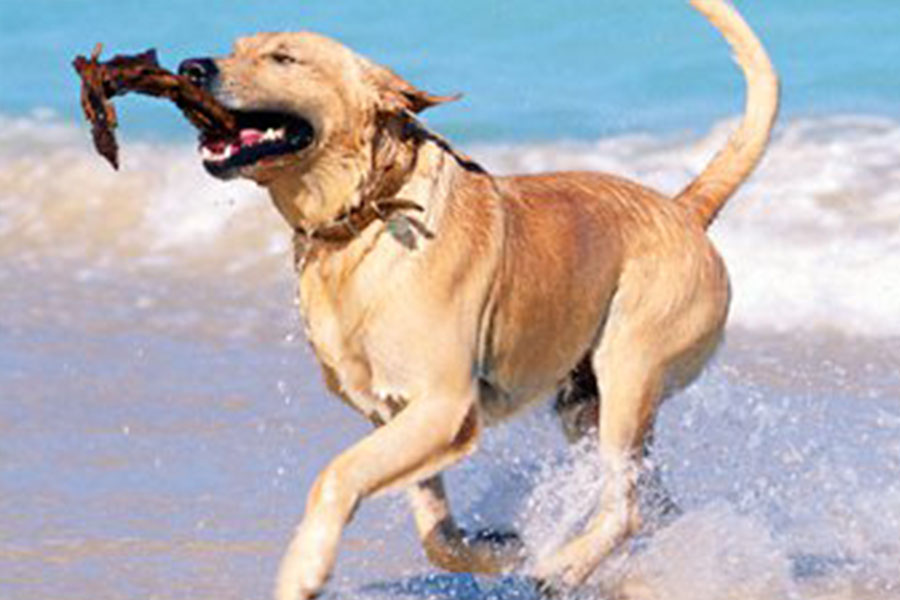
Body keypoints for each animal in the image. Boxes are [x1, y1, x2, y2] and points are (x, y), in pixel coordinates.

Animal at [178, 2, 780, 596]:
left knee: (625, 507)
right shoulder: (392, 415)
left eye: (284, 57)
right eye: (235, 48)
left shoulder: (443, 406)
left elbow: (338, 474)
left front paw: (304, 568)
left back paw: (561, 567)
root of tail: (686, 208)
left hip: (629, 372)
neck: (363, 216)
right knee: (650, 504)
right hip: (584, 404)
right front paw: (499, 549)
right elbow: (437, 533)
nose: (190, 67)